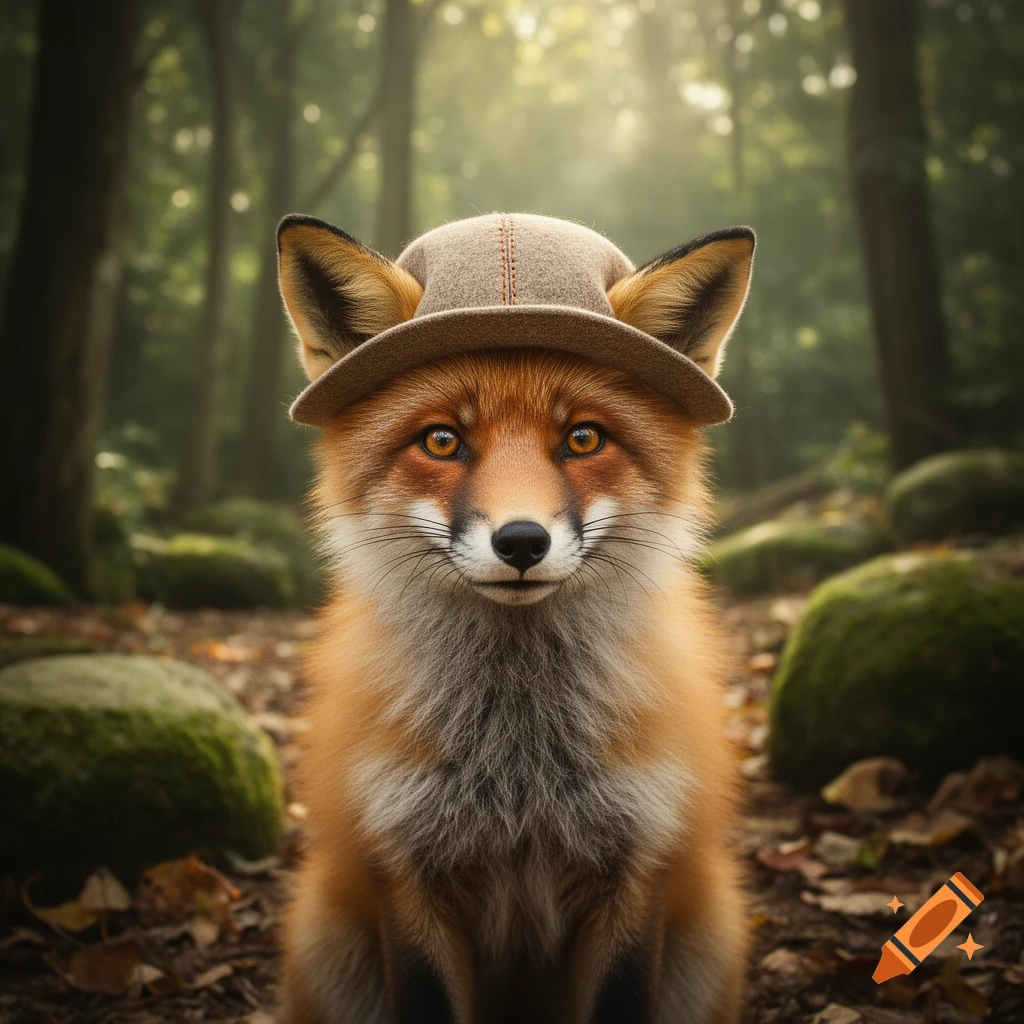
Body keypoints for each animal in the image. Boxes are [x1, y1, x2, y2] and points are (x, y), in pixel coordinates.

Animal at [274, 212, 756, 1024]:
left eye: (583, 437)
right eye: (442, 440)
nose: (523, 542)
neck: (519, 761)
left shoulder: (636, 863)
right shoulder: (406, 865)